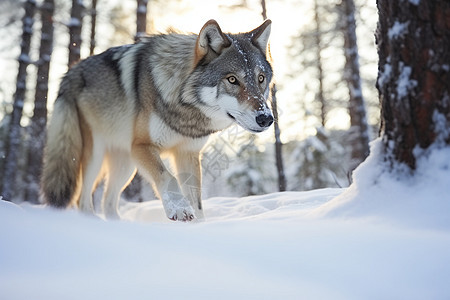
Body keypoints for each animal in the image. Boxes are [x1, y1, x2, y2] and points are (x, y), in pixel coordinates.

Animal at [42, 18, 274, 220]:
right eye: (232, 80)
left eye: (261, 79)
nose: (266, 118)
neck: (185, 107)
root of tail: (70, 73)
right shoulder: (142, 146)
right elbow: (167, 177)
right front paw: (179, 209)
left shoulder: (188, 153)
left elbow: (198, 204)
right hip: (96, 156)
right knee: (82, 200)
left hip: (126, 164)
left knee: (108, 202)